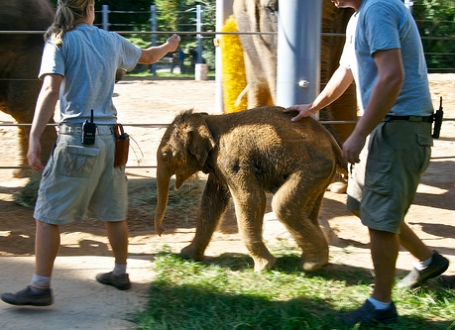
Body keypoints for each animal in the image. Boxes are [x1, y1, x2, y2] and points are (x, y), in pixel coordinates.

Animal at [155, 107, 348, 272]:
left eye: (165, 155)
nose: (162, 232)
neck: (208, 121)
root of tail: (333, 143)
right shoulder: (218, 167)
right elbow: (211, 202)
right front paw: (187, 255)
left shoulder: (231, 161)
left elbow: (250, 199)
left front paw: (264, 268)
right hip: (320, 175)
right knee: (308, 212)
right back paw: (317, 262)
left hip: (312, 168)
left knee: (282, 206)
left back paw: (311, 265)